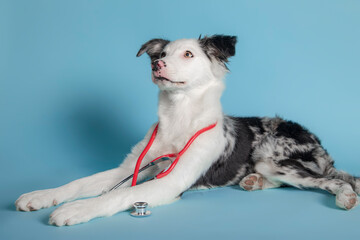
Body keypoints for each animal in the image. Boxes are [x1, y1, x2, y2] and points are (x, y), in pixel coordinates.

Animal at [15, 34, 358, 226]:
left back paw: (346, 196)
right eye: (161, 55)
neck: (179, 118)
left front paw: (77, 209)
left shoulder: (170, 181)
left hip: (273, 157)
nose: (156, 65)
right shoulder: (130, 169)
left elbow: (118, 195)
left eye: (188, 54)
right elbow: (78, 183)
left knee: (333, 181)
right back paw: (253, 182)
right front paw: (42, 195)